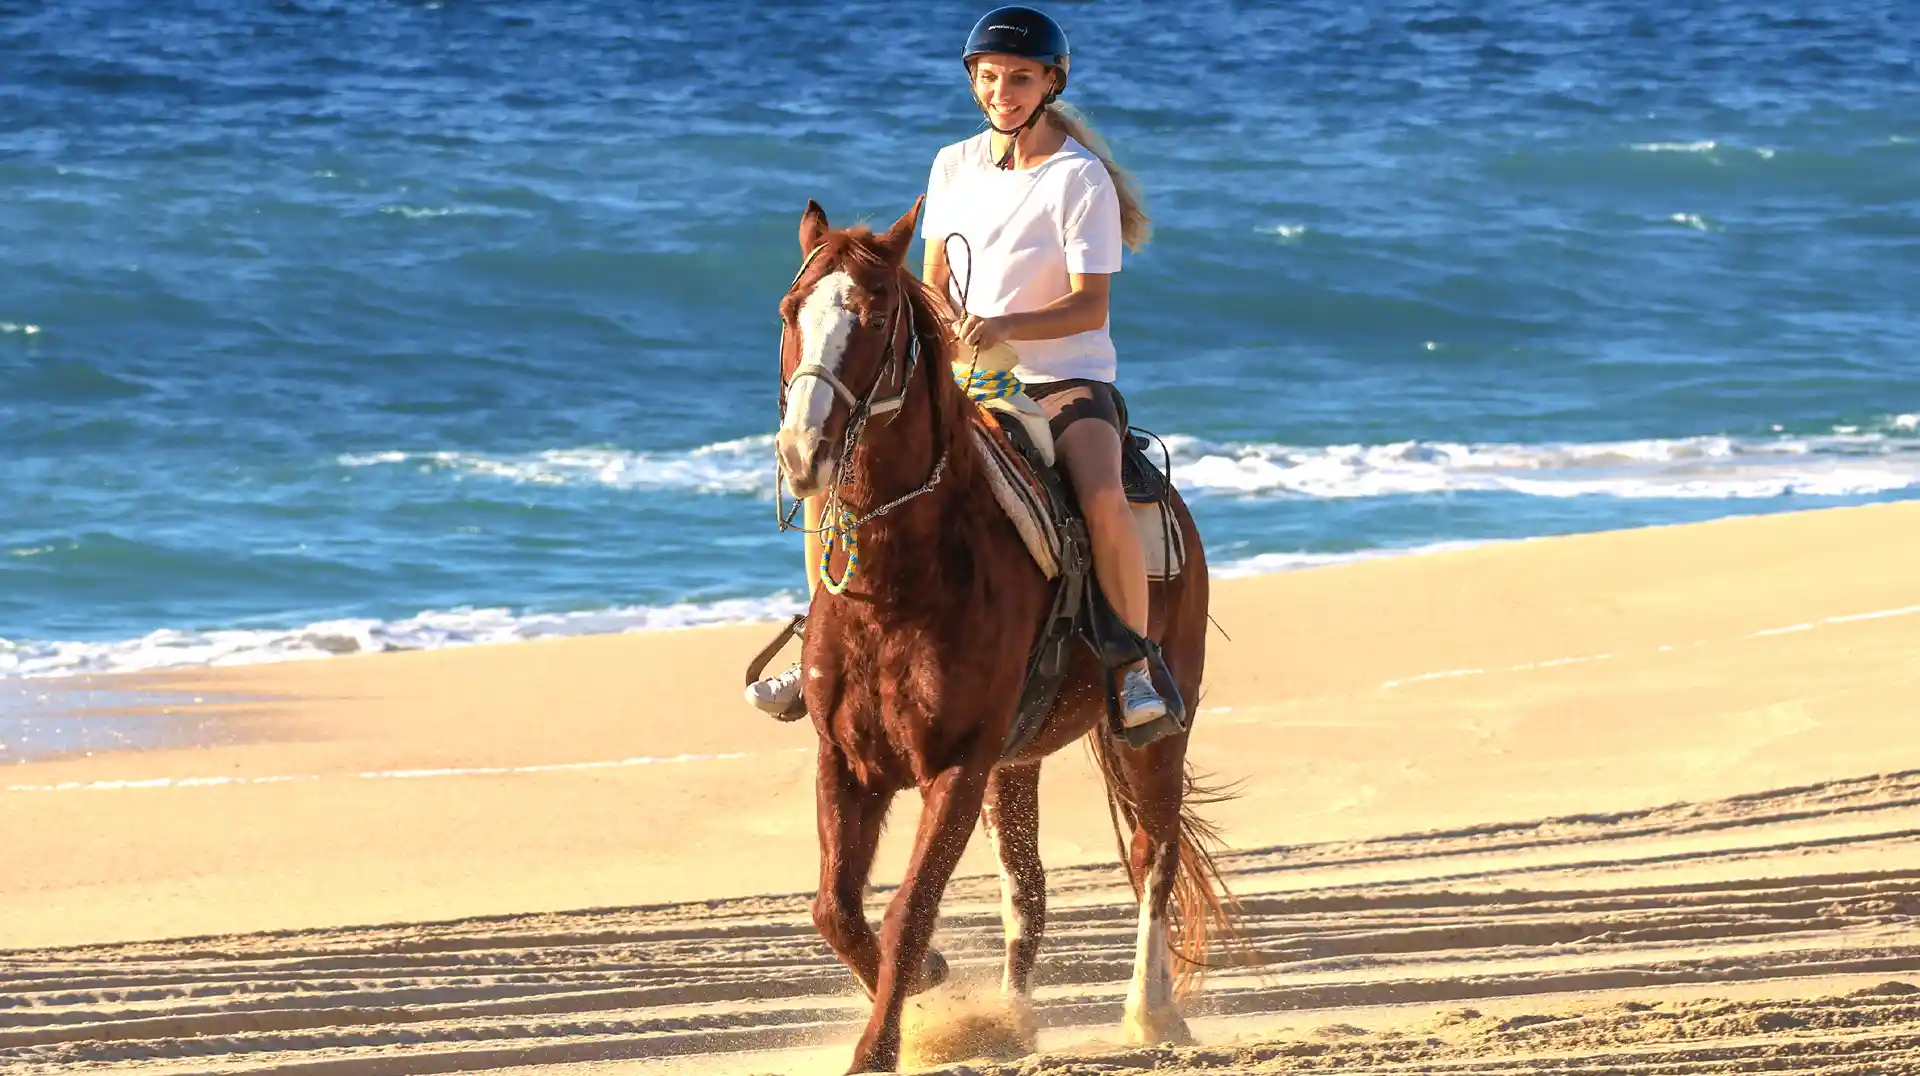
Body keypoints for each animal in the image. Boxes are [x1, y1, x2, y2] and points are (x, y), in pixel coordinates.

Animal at [773, 197, 1233, 1074]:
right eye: (790, 311)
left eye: (873, 316)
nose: (801, 453)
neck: (899, 585)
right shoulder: (845, 758)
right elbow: (834, 909)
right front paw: (940, 992)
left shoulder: (956, 764)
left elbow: (907, 912)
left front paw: (881, 1047)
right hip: (1014, 767)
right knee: (1029, 888)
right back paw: (1014, 1020)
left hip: (1160, 730)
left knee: (1153, 857)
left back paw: (1151, 1013)